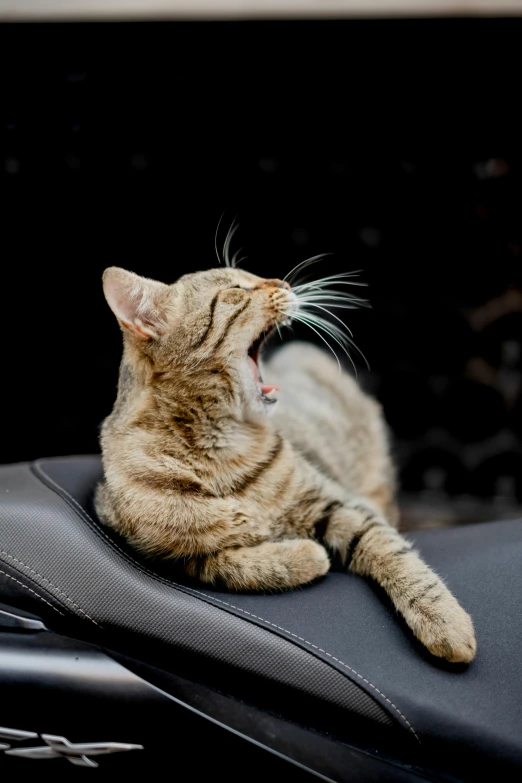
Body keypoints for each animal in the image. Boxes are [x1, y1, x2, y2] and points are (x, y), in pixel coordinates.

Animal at [95, 266, 474, 664]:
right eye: (236, 289)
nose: (284, 283)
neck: (221, 453)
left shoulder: (340, 504)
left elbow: (397, 555)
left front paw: (445, 621)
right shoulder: (167, 555)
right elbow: (230, 565)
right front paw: (306, 555)